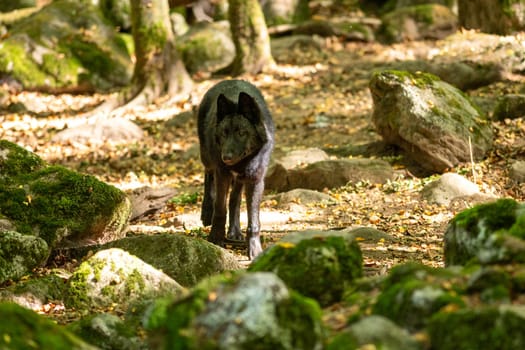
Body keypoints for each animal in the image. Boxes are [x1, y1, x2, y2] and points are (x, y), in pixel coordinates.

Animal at [198, 80, 274, 260]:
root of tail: (229, 80)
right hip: (207, 158)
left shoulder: (256, 180)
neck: (242, 163)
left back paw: (234, 231)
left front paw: (254, 250)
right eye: (224, 133)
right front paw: (215, 239)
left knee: (235, 198)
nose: (226, 157)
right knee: (208, 176)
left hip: (240, 180)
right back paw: (206, 212)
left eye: (241, 133)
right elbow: (220, 209)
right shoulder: (222, 174)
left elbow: (253, 222)